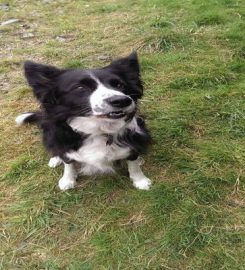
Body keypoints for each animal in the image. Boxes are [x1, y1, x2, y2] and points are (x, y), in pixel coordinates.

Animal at [15, 52, 151, 190]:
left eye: (119, 85)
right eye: (80, 87)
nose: (122, 100)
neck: (98, 130)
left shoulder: (134, 141)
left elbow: (133, 164)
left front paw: (140, 181)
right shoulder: (65, 143)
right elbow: (68, 163)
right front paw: (67, 180)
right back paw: (55, 159)